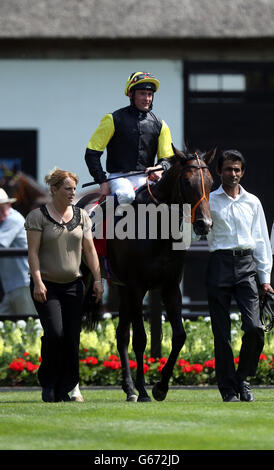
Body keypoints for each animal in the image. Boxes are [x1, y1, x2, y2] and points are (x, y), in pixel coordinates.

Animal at [77, 147, 216, 400]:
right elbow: (141, 339)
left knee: (121, 335)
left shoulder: (170, 287)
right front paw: (144, 390)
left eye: (211, 182)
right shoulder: (137, 286)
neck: (156, 228)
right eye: (187, 181)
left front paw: (160, 387)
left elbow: (179, 335)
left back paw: (128, 388)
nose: (205, 224)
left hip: (121, 288)